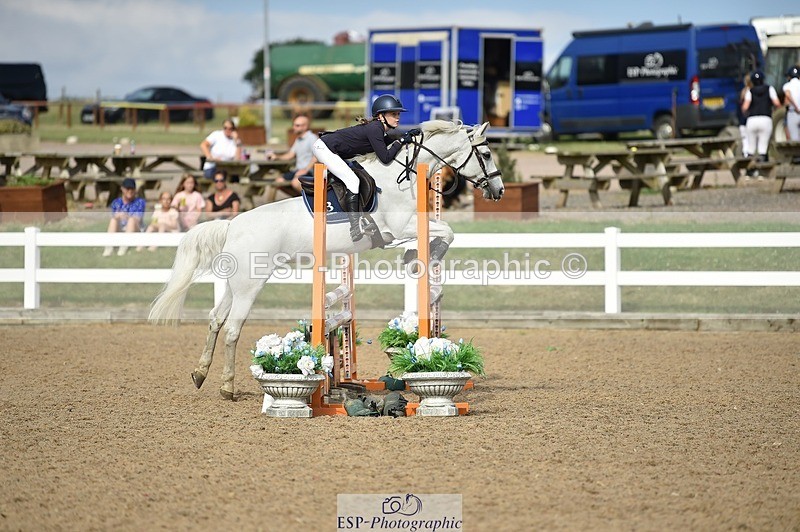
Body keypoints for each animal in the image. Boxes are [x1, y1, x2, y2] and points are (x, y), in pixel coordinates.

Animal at [148, 119, 504, 399]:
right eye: (486, 154)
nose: (499, 191)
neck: (400, 179)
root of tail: (233, 225)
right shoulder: (399, 228)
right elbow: (445, 232)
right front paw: (420, 255)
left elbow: (443, 232)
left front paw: (420, 257)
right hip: (250, 286)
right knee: (233, 329)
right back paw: (227, 387)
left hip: (234, 285)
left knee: (215, 320)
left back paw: (200, 374)